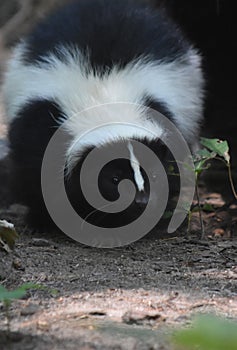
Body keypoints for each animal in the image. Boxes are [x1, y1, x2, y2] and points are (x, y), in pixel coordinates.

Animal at [2, 0, 204, 232]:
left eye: (153, 174)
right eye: (114, 178)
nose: (141, 200)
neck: (104, 100)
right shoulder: (40, 122)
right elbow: (40, 174)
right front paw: (45, 218)